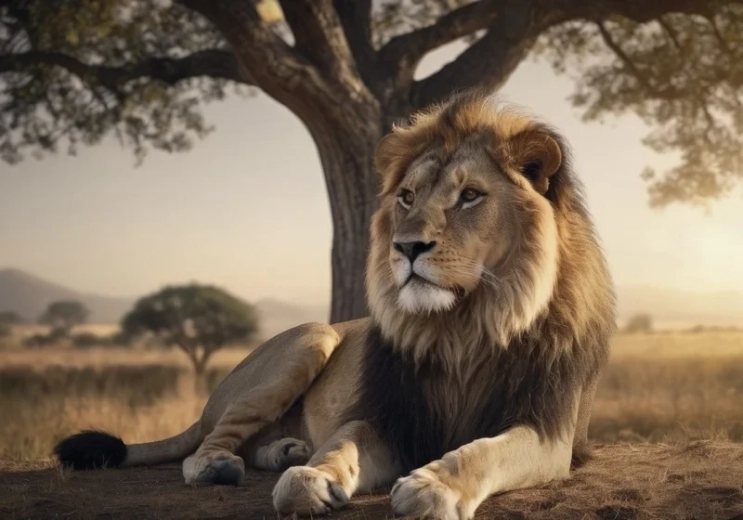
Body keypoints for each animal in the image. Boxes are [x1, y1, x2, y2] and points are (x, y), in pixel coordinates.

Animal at [55, 88, 616, 520]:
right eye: (407, 197)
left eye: (471, 196)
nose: (406, 247)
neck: (463, 326)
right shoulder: (389, 417)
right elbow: (341, 444)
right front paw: (311, 477)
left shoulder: (549, 432)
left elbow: (480, 453)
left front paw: (432, 486)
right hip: (313, 338)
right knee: (207, 444)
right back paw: (231, 463)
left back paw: (284, 449)